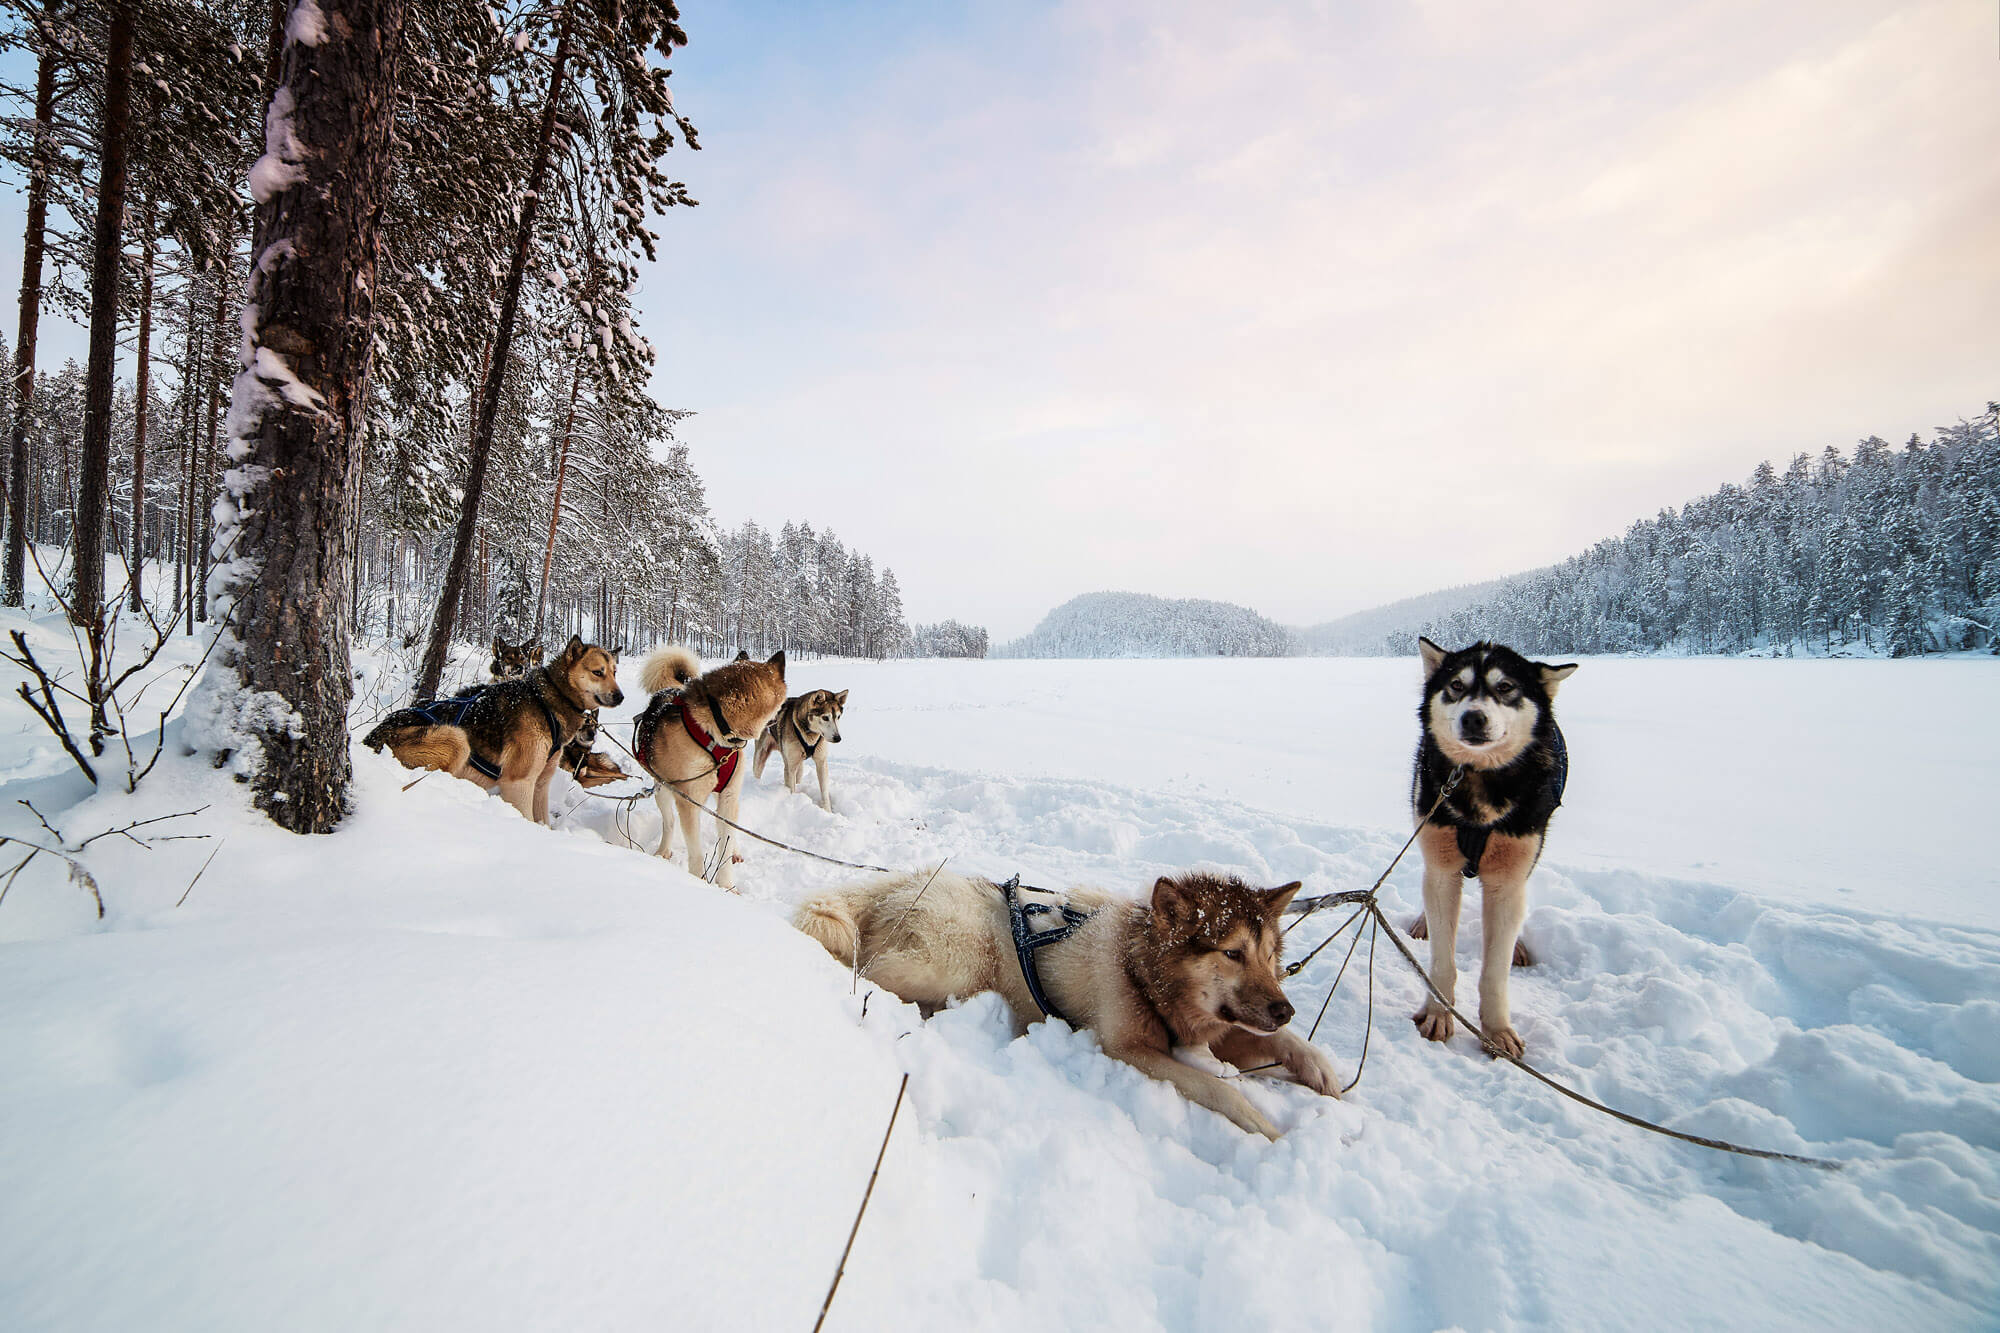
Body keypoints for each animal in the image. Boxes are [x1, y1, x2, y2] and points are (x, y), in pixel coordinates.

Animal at [362, 636, 624, 820]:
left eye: (614, 672)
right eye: (598, 672)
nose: (620, 697)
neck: (548, 701)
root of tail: (369, 739)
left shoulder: (541, 785)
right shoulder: (518, 783)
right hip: (457, 739)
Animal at [632, 640, 788, 880]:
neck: (717, 728)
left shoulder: (728, 795)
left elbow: (726, 842)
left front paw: (727, 885)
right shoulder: (688, 800)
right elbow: (695, 851)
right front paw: (698, 881)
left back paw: (735, 852)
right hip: (663, 789)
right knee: (669, 822)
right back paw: (662, 851)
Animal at [788, 868, 1336, 1136]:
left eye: (1271, 957)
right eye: (1232, 953)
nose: (1285, 1008)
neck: (1137, 964)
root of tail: (907, 880)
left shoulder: (1222, 1026)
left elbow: (1276, 1042)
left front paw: (1319, 1065)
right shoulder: (1127, 1049)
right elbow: (1219, 1087)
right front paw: (1262, 1124)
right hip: (949, 964)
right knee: (867, 968)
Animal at [1408, 636, 1576, 1056]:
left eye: (1505, 687)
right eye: (1456, 685)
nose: (1474, 718)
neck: (1476, 779)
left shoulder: (1507, 876)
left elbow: (1494, 973)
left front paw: (1497, 1031)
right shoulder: (1442, 866)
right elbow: (1442, 962)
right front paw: (1437, 1014)